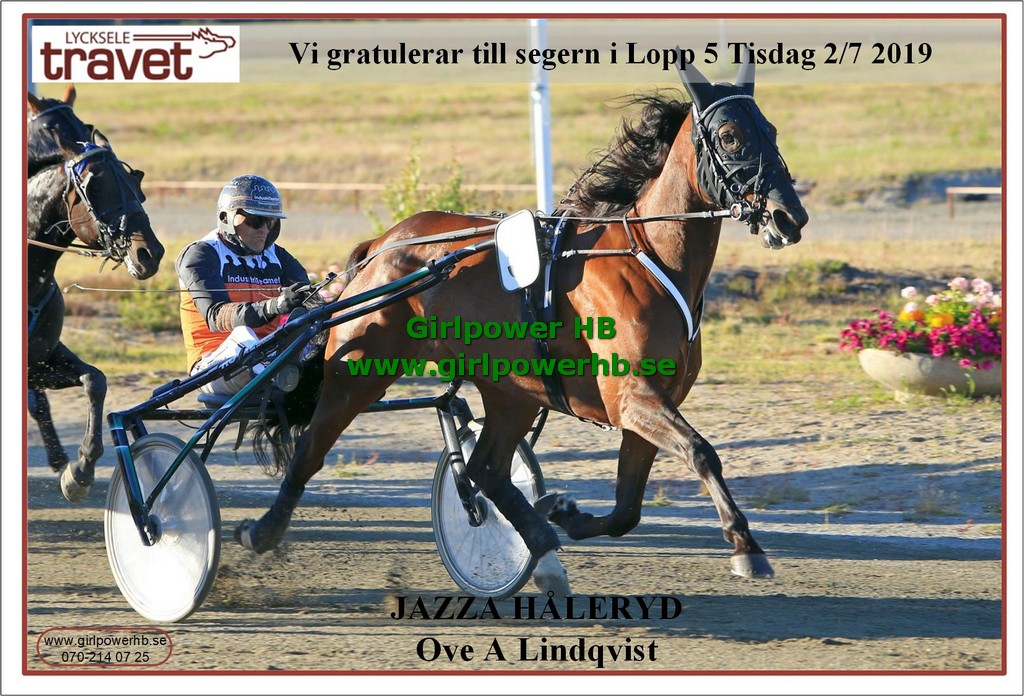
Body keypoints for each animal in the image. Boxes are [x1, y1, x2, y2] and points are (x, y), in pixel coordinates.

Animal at [27, 84, 165, 502]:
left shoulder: (41, 361)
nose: (149, 252)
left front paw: (79, 469)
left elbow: (95, 380)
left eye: (134, 182)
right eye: (95, 186)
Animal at [236, 53, 809, 595]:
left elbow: (627, 509)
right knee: (311, 449)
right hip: (360, 368)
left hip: (512, 389)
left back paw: (540, 541)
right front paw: (747, 547)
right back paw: (261, 531)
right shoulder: (632, 396)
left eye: (773, 130)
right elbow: (701, 452)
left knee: (486, 469)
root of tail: (382, 243)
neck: (648, 256)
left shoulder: (652, 399)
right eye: (730, 136)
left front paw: (566, 513)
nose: (790, 217)